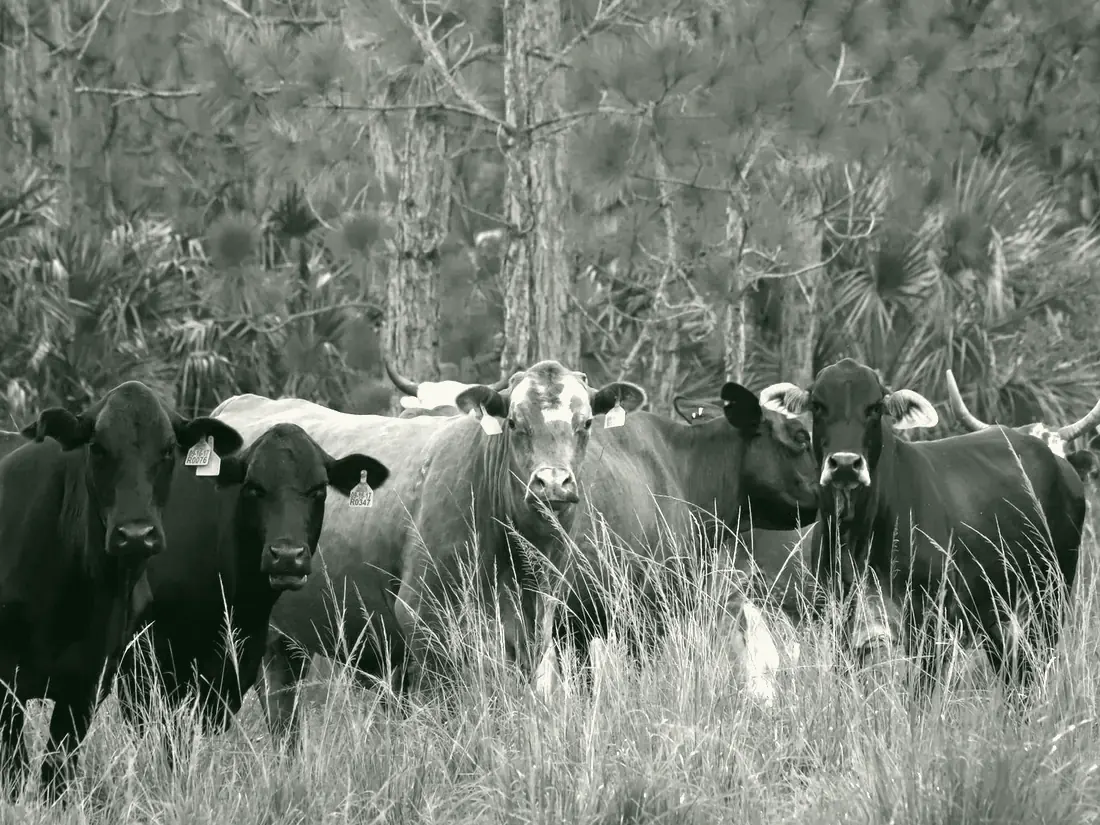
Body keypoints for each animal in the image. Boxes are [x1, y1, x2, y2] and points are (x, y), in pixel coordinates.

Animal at [0, 382, 243, 801]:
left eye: (168, 449)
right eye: (97, 447)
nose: (135, 534)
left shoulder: (88, 684)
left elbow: (55, 773)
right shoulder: (5, 683)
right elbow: (13, 772)